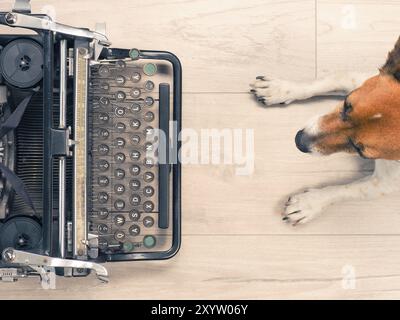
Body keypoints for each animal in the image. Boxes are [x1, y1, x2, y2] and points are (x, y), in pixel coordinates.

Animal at [250, 37, 400, 225]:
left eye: (360, 150)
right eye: (346, 104)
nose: (299, 141)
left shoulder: (383, 184)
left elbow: (344, 191)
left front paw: (309, 204)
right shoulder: (359, 80)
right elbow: (331, 80)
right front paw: (280, 89)